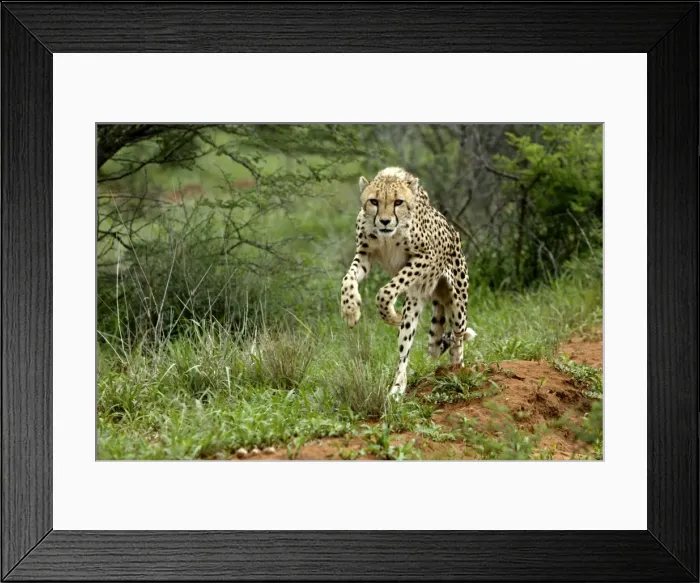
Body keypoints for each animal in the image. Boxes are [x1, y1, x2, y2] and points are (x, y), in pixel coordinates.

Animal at [340, 167, 477, 399]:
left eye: (398, 202)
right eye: (374, 201)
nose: (385, 221)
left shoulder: (426, 256)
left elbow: (385, 291)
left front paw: (390, 315)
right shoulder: (365, 254)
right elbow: (347, 279)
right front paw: (350, 310)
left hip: (457, 305)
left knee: (458, 338)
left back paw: (457, 371)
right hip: (415, 305)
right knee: (405, 352)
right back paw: (397, 389)